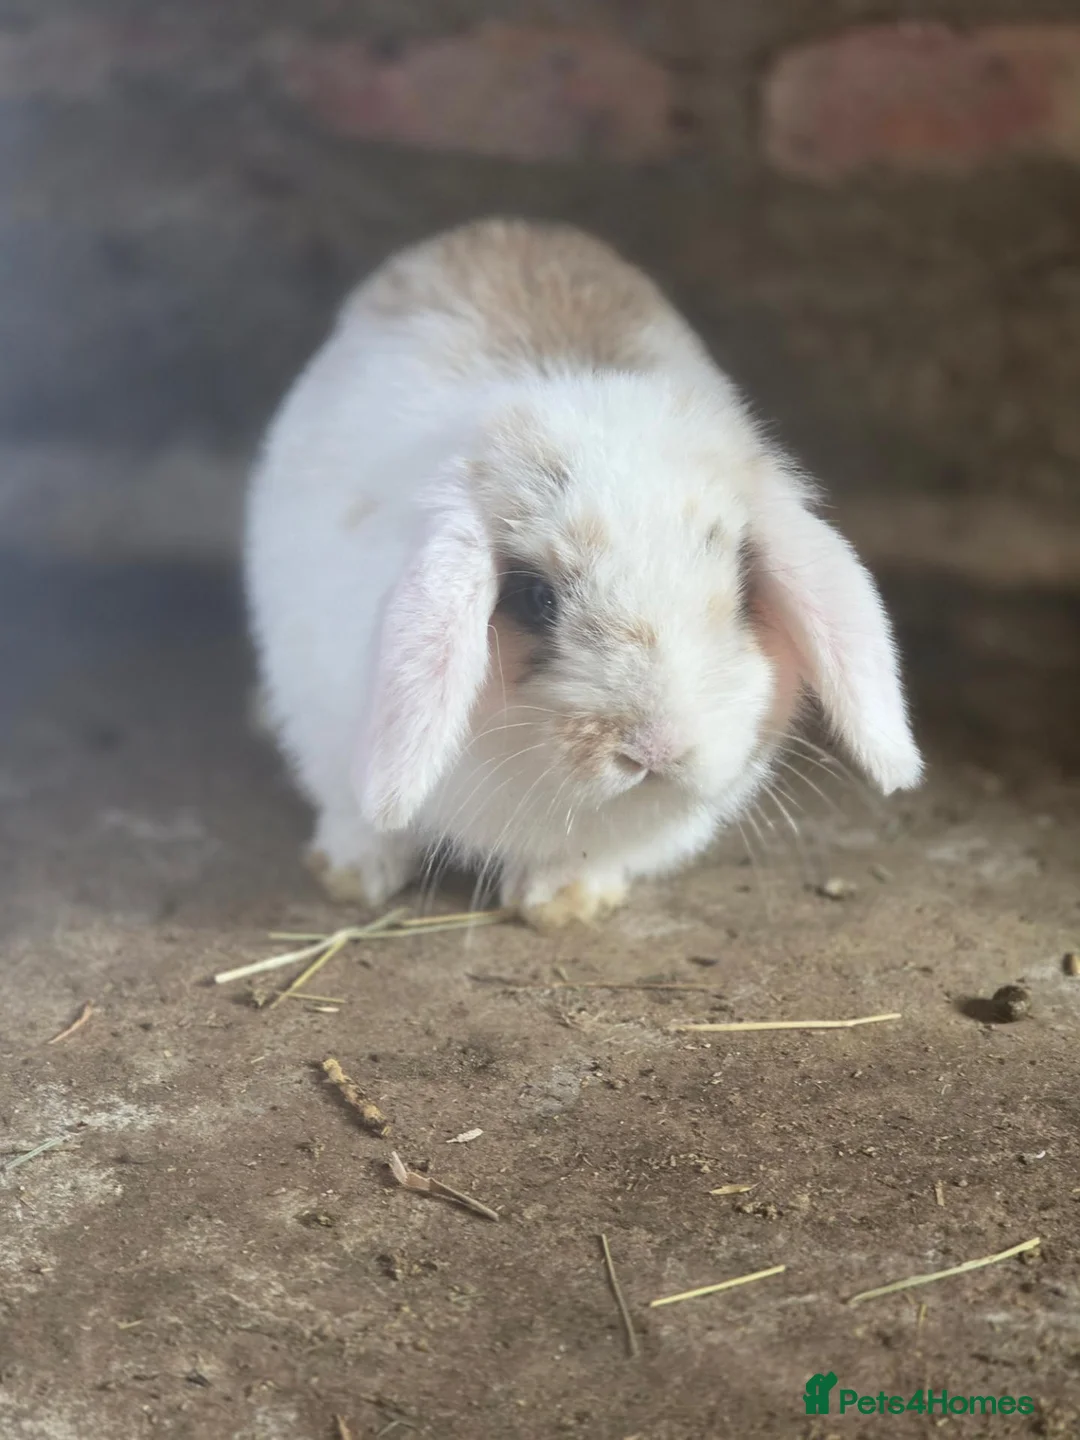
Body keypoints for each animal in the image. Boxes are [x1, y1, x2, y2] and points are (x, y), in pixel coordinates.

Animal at [243, 218, 921, 929]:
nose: (655, 749)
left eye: (741, 591)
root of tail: (502, 228)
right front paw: (350, 877)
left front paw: (564, 904)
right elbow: (357, 817)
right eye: (535, 598)